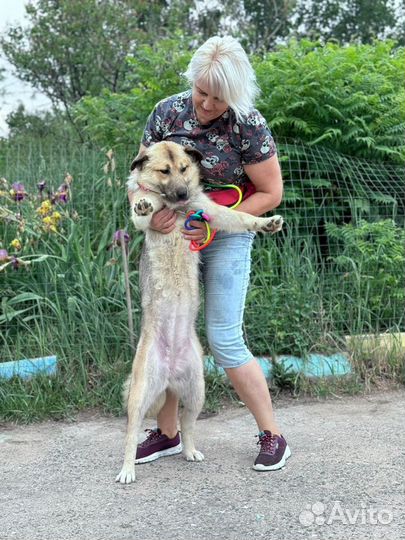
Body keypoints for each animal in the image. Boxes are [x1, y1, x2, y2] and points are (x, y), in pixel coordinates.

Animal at [115, 141, 282, 484]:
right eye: (164, 171)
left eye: (184, 168)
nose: (182, 194)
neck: (177, 207)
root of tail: (168, 373)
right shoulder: (148, 212)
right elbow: (143, 207)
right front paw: (143, 204)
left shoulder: (214, 213)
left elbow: (240, 216)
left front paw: (265, 223)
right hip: (139, 397)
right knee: (130, 435)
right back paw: (127, 470)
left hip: (196, 394)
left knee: (187, 426)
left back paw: (190, 451)